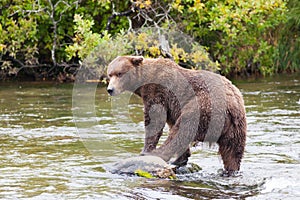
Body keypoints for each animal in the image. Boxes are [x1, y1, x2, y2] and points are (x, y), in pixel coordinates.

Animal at [106, 55, 247, 176]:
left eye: (120, 74)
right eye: (110, 74)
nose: (110, 89)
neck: (143, 82)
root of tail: (232, 103)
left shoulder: (157, 91)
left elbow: (154, 121)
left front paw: (145, 151)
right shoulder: (171, 105)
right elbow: (169, 121)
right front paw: (183, 156)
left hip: (204, 107)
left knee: (183, 129)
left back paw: (160, 155)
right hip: (236, 125)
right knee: (232, 151)